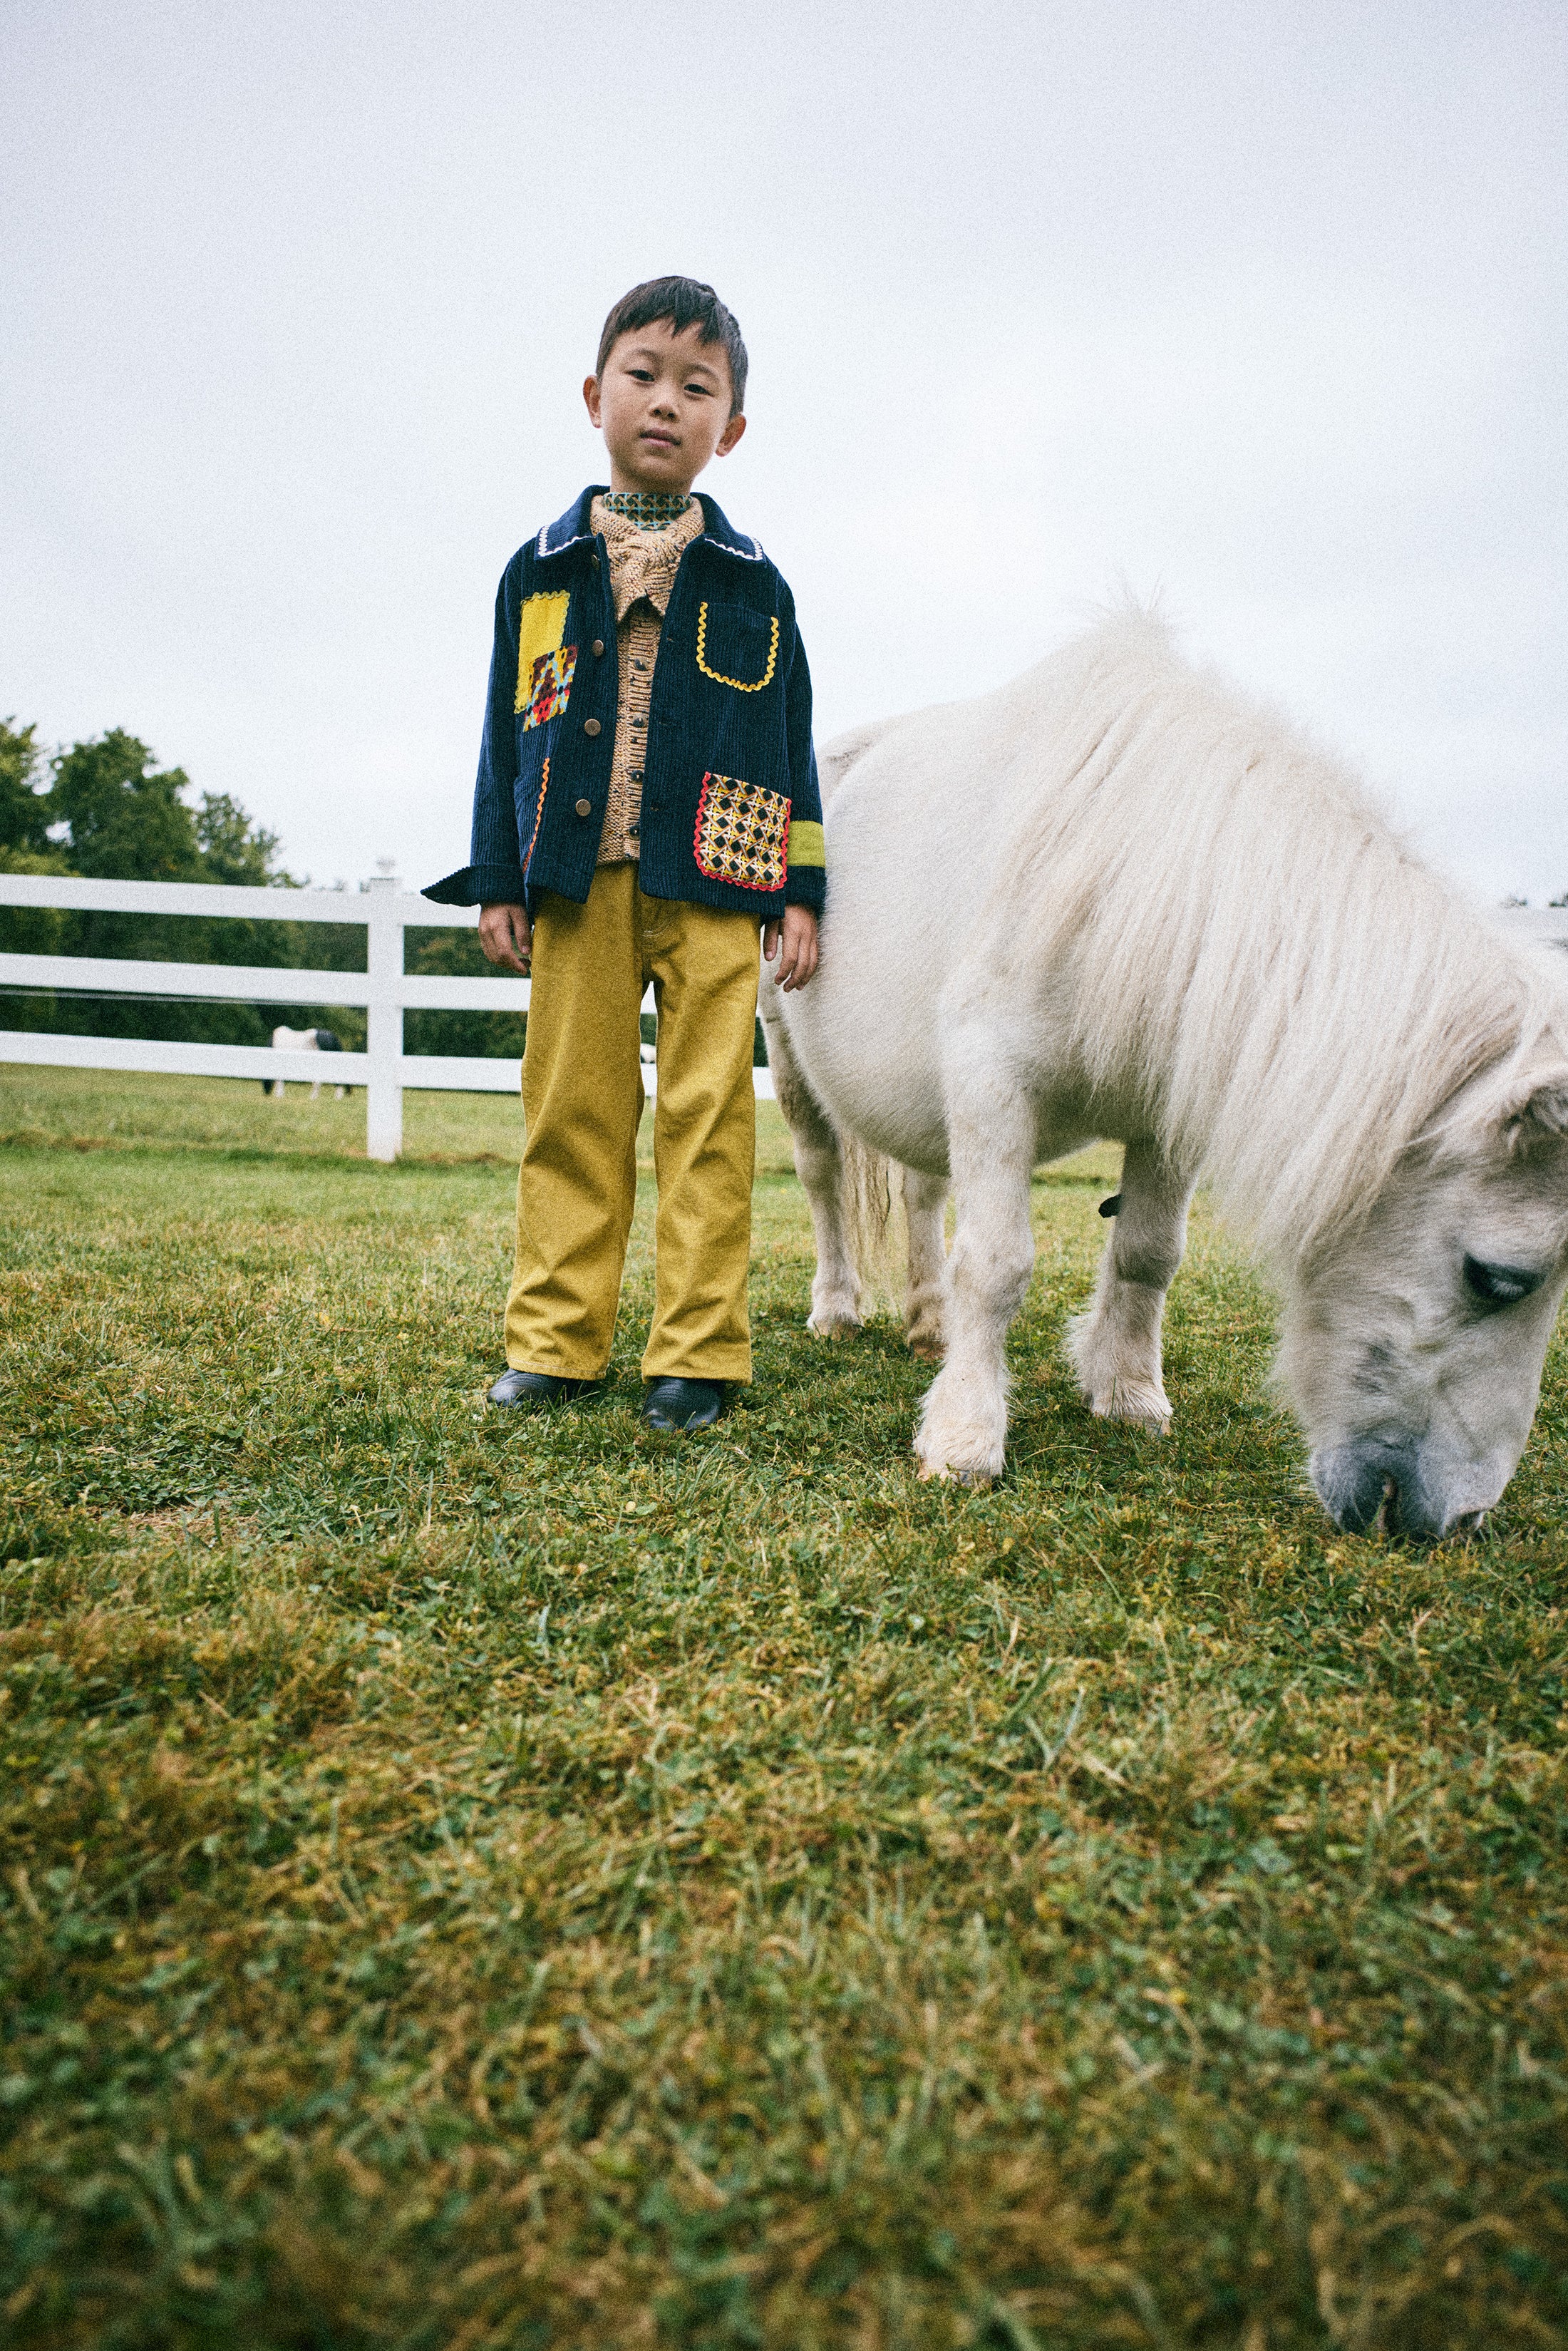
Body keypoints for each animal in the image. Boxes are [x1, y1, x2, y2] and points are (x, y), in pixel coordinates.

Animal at [761, 611, 1568, 1542]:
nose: (1463, 1521)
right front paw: (964, 1439)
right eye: (1495, 1277)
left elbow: (1148, 1253)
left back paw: (929, 1324)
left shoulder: (1164, 1110)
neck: (1136, 875)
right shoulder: (990, 1081)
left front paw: (1126, 1394)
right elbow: (996, 1263)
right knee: (822, 1179)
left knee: (924, 1192)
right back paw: (837, 1309)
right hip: (790, 1057)